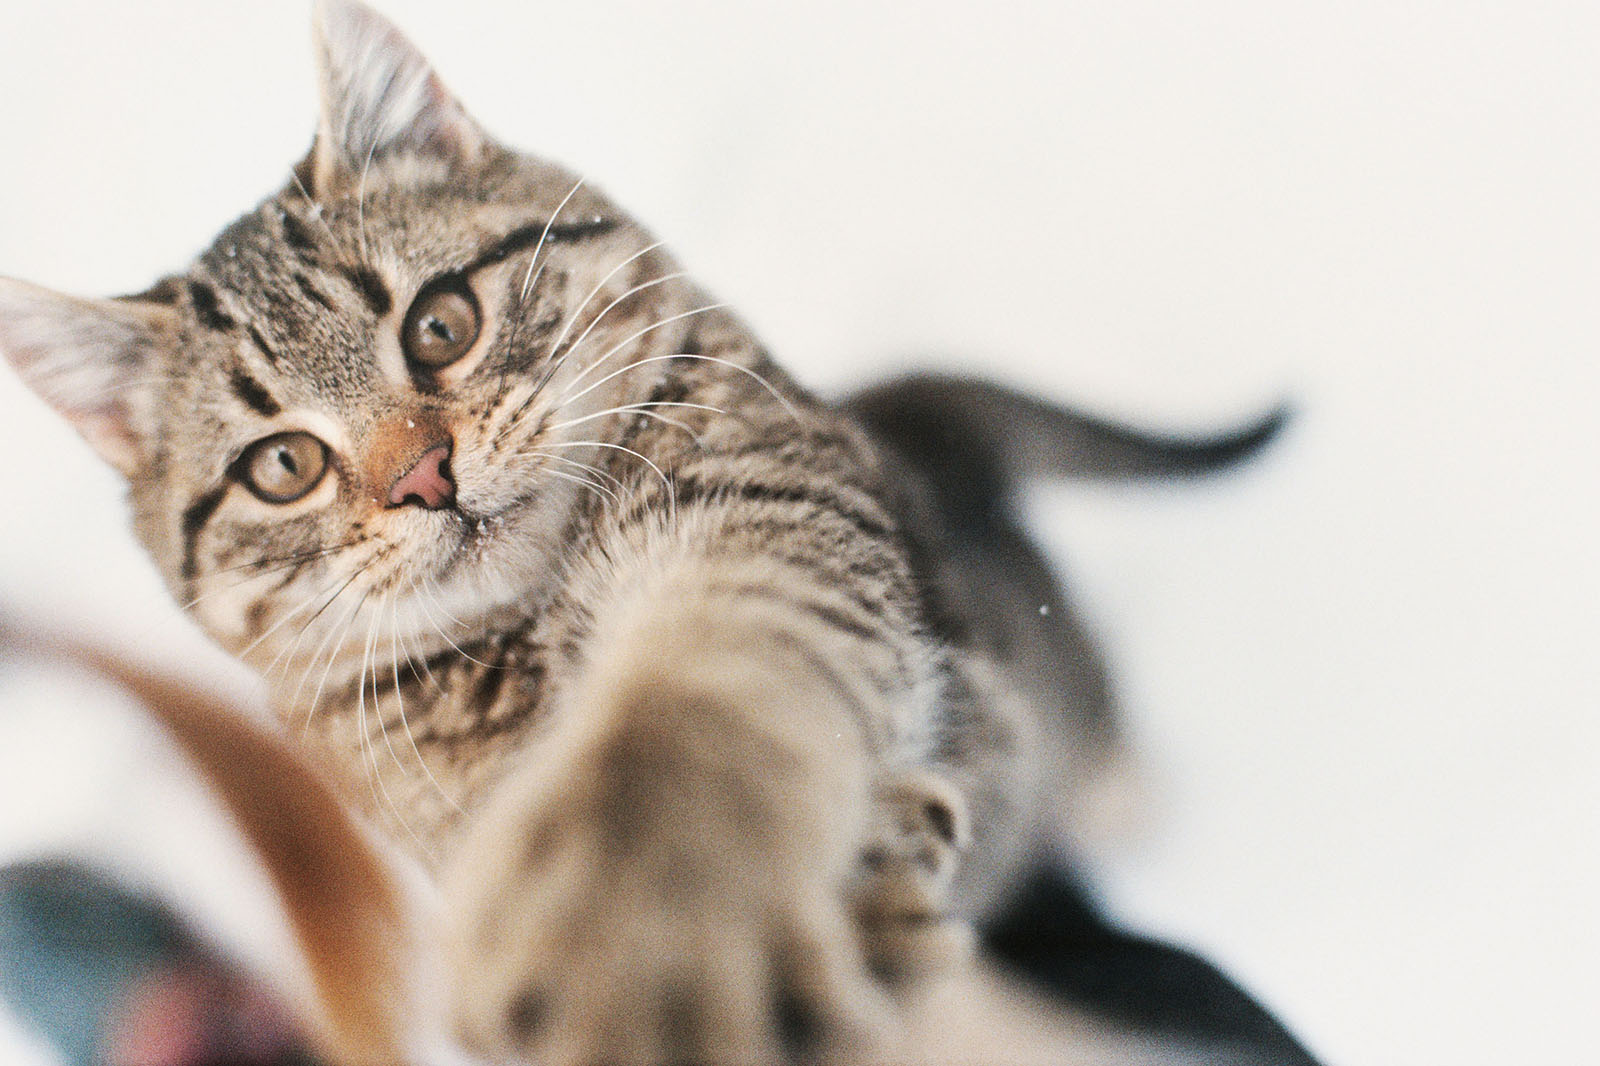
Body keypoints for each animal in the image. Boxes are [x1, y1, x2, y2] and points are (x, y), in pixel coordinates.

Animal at [0, 4, 1280, 1056]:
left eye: (440, 325)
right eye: (283, 465)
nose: (422, 475)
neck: (528, 645)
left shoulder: (761, 531)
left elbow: (689, 730)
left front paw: (644, 894)